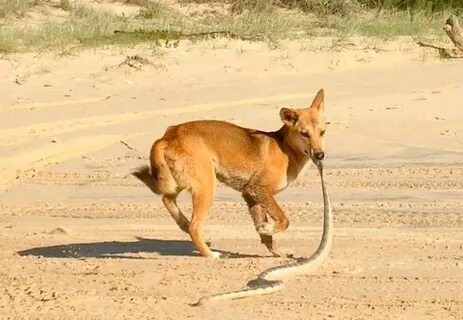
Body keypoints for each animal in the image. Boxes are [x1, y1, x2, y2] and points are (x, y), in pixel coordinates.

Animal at [134, 89, 328, 258]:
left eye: (322, 132)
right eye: (304, 134)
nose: (320, 155)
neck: (285, 149)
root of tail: (167, 135)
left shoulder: (250, 194)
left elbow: (267, 235)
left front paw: (276, 250)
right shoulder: (258, 188)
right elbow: (284, 220)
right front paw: (267, 229)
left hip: (182, 181)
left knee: (167, 200)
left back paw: (183, 222)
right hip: (206, 186)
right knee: (194, 227)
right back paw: (210, 254)